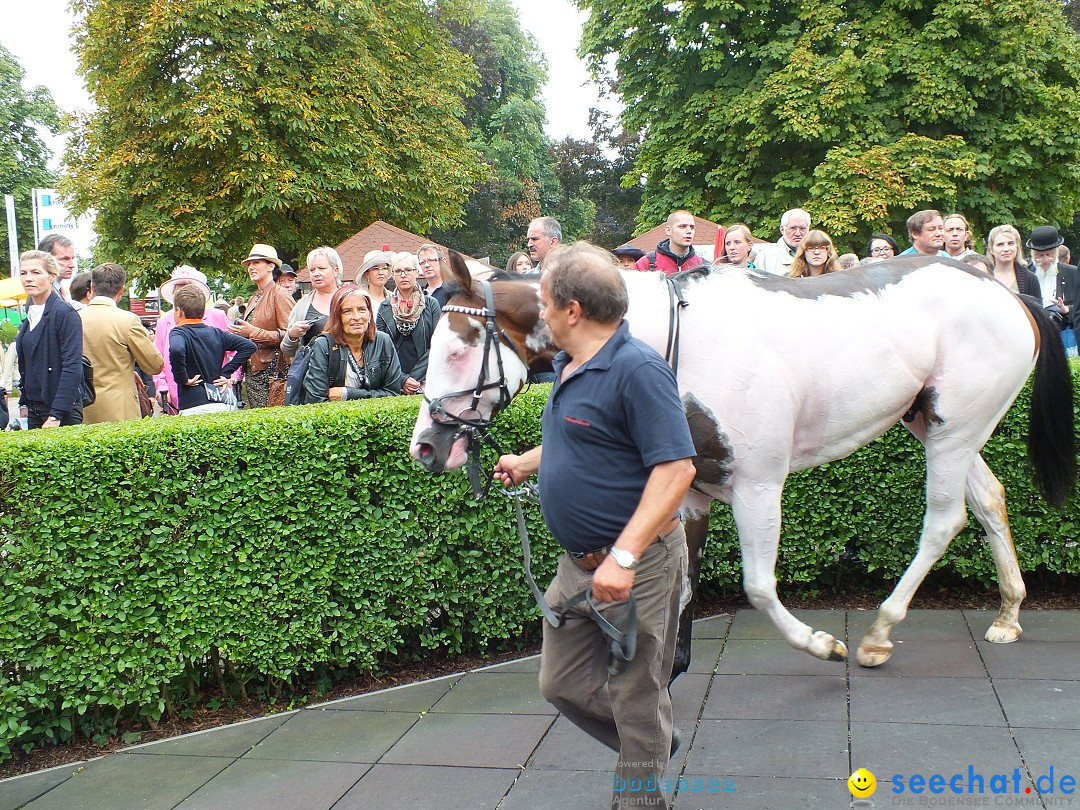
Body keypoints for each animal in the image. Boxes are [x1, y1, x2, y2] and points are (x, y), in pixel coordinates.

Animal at [408, 253, 1075, 673]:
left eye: (459, 349)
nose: (425, 446)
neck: (673, 344)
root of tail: (1010, 293)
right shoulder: (691, 489)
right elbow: (681, 586)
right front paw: (665, 672)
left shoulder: (758, 485)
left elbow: (756, 586)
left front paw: (822, 644)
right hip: (941, 424)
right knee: (989, 500)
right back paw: (1009, 612)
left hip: (953, 432)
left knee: (943, 521)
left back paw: (879, 634)